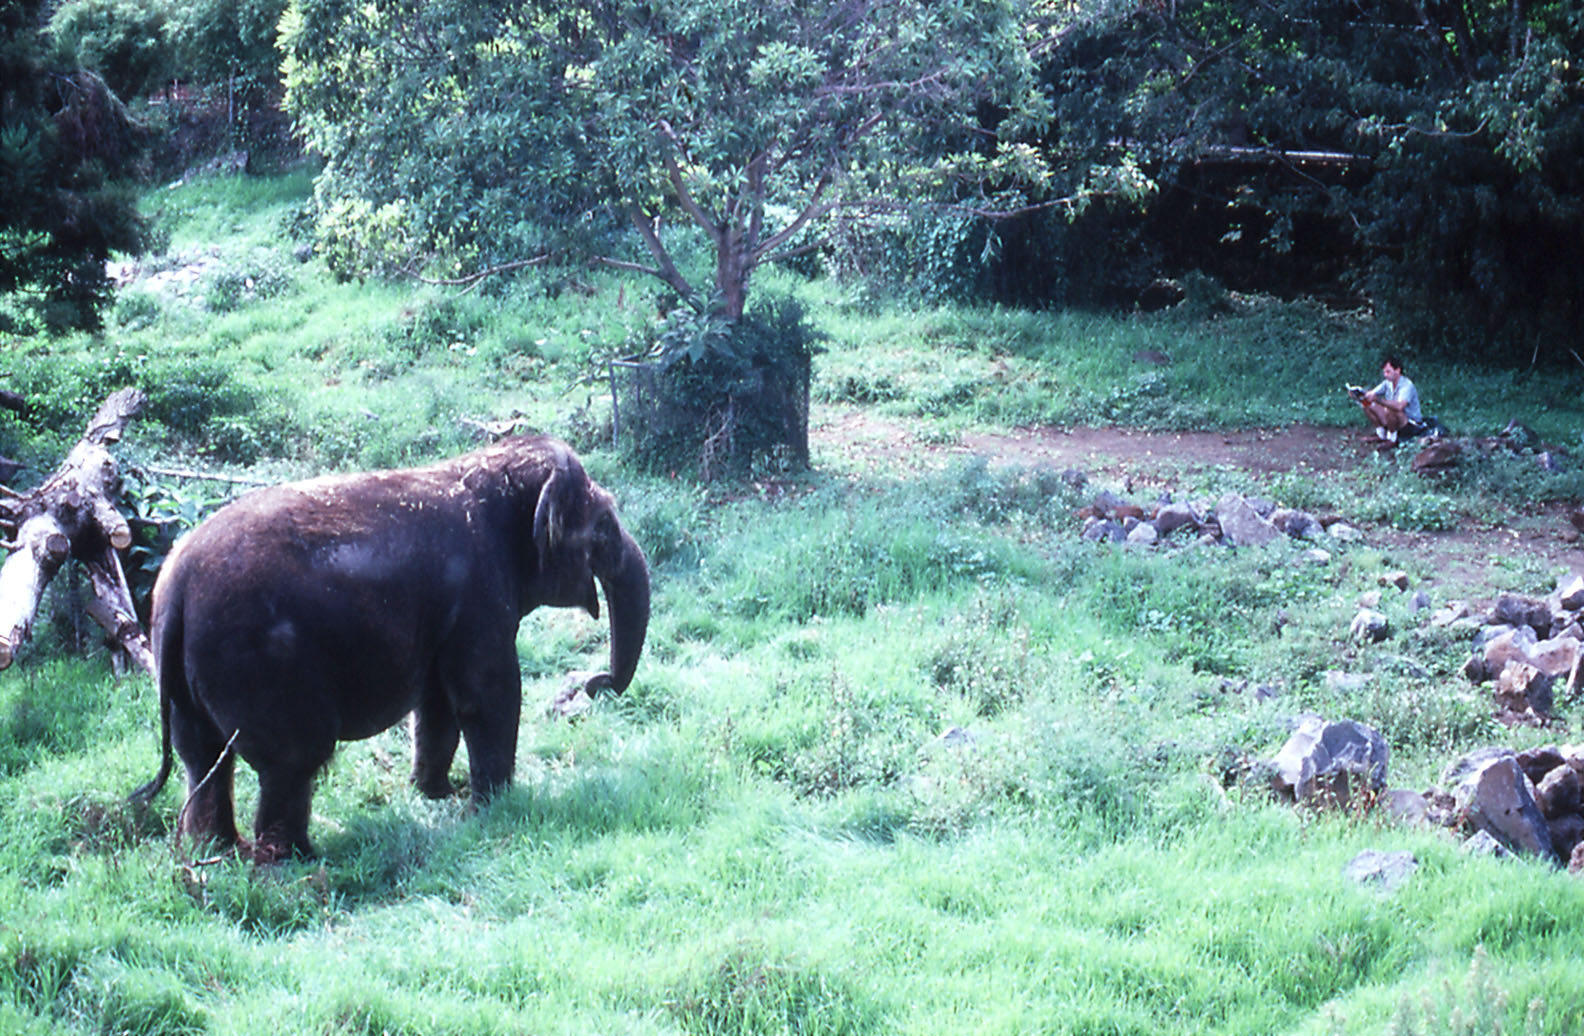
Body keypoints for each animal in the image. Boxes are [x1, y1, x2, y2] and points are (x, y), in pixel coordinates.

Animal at [131, 435, 649, 860]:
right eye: (604, 525)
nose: (597, 683)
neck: (487, 467)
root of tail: (174, 591)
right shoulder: (478, 595)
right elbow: (488, 695)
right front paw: (493, 806)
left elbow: (438, 703)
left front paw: (438, 794)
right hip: (259, 665)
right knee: (292, 759)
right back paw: (298, 859)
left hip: (184, 674)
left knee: (202, 757)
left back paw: (218, 850)